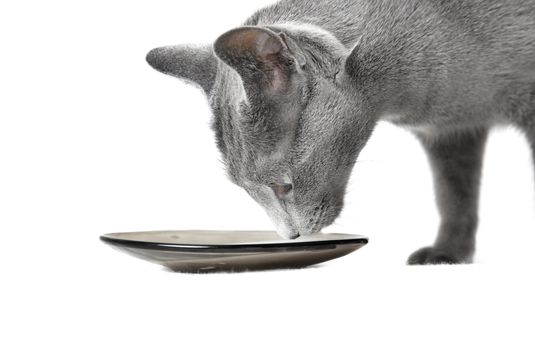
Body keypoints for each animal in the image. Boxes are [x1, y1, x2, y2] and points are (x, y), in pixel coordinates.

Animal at [144, 0, 535, 262]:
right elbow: (453, 193)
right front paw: (448, 253)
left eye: (283, 187)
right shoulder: (449, 134)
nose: (291, 236)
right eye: (244, 190)